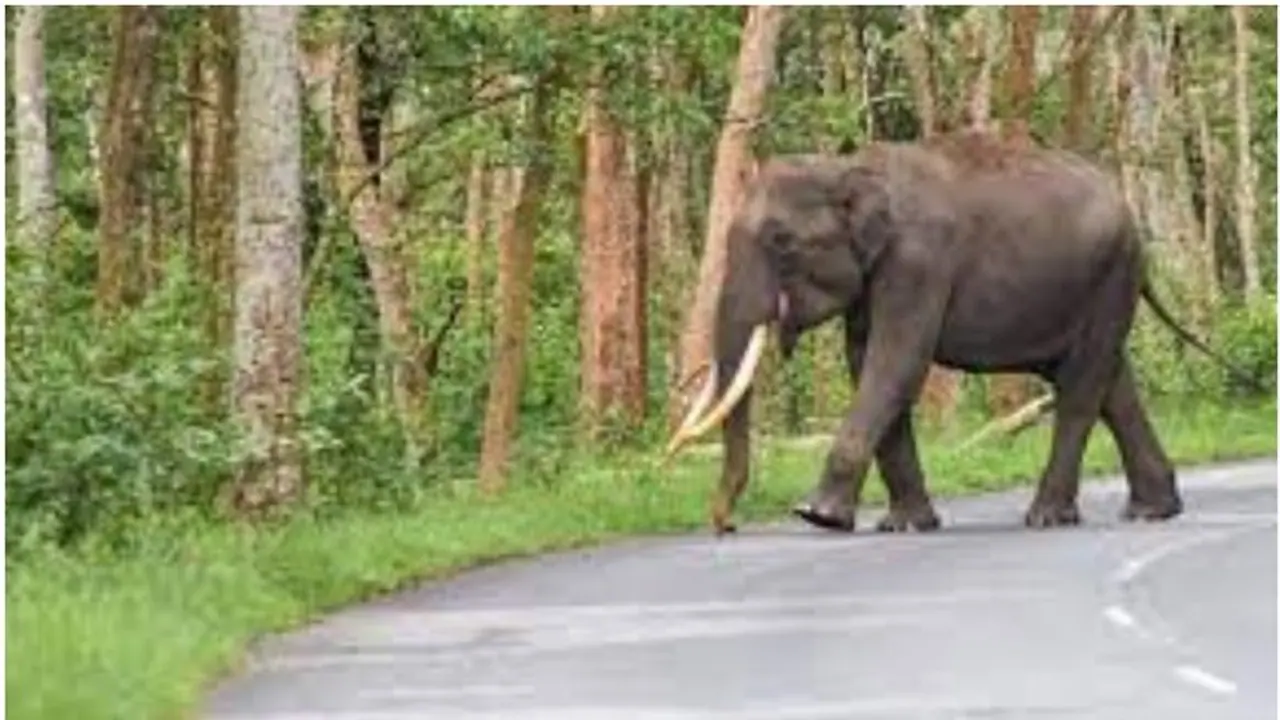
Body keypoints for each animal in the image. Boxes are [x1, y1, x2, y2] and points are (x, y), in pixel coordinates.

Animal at [664, 130, 1255, 536]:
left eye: (781, 241)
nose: (724, 525)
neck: (848, 166)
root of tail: (1130, 213)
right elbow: (868, 365)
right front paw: (903, 526)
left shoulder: (919, 262)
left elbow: (895, 364)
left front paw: (817, 516)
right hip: (1097, 286)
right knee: (1112, 382)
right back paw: (1153, 511)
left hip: (1110, 276)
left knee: (1082, 388)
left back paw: (1046, 517)